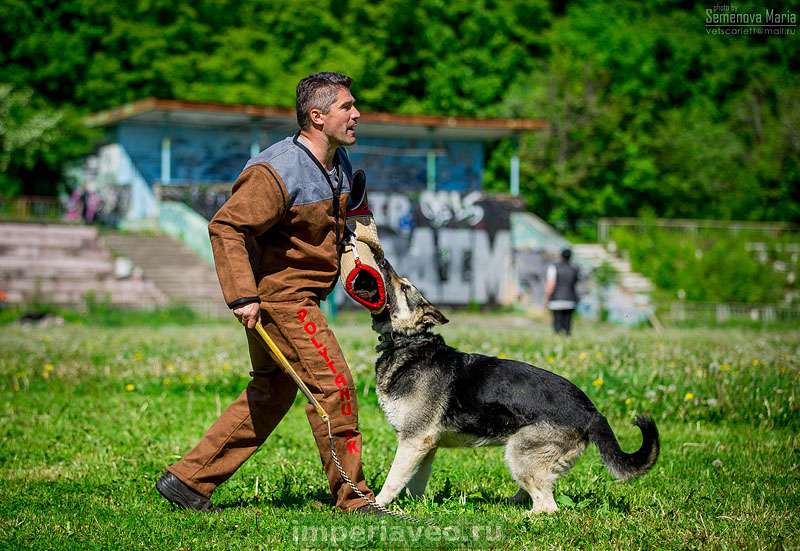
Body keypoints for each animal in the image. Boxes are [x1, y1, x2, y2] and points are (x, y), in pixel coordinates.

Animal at [369, 260, 660, 513]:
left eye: (404, 288)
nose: (381, 261)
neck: (408, 341)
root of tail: (592, 412)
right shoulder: (426, 446)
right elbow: (415, 482)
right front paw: (415, 505)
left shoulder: (414, 441)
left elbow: (394, 479)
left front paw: (378, 504)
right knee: (541, 490)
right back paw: (510, 503)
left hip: (519, 452)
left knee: (548, 506)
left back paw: (522, 515)